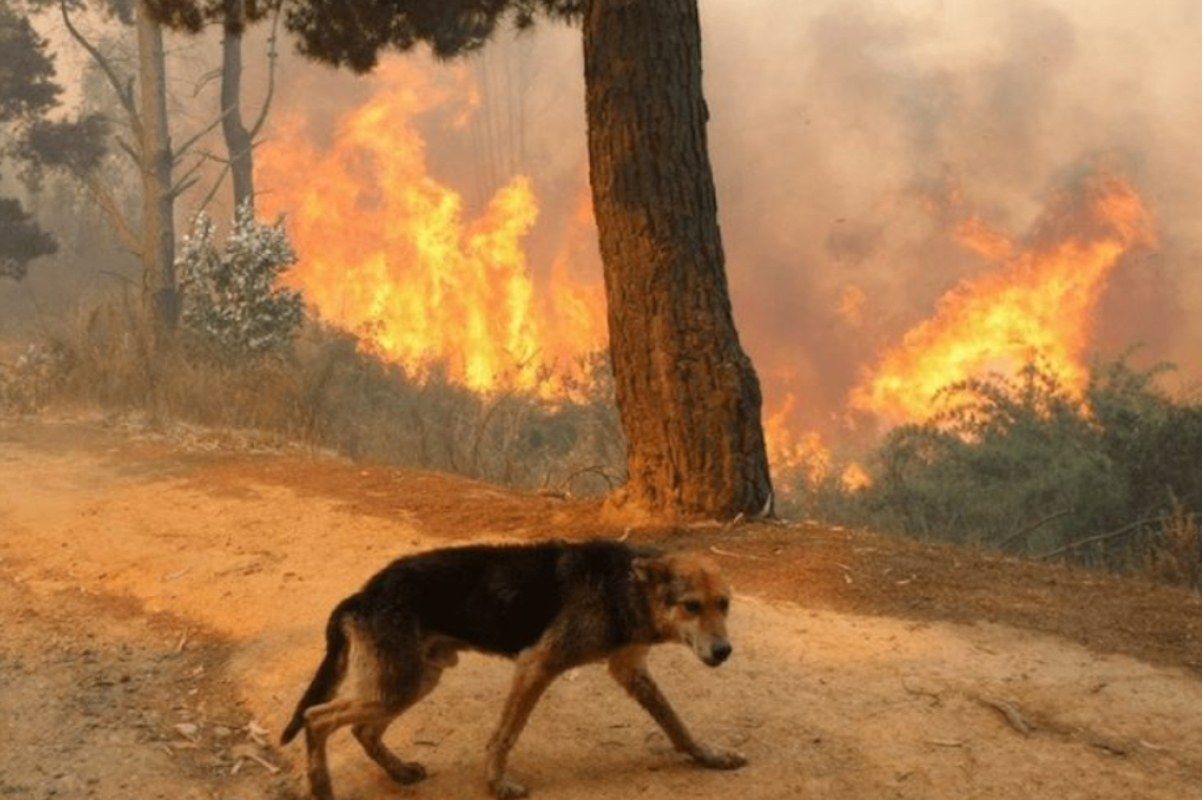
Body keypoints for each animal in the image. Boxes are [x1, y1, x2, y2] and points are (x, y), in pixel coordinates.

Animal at [283, 538, 750, 792]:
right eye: (691, 606)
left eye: (724, 604)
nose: (724, 651)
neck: (622, 585)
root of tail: (362, 594)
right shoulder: (535, 666)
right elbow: (505, 735)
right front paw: (496, 784)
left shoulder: (631, 672)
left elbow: (677, 725)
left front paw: (709, 757)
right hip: (399, 684)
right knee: (316, 717)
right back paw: (322, 787)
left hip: (415, 680)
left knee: (361, 729)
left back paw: (398, 771)